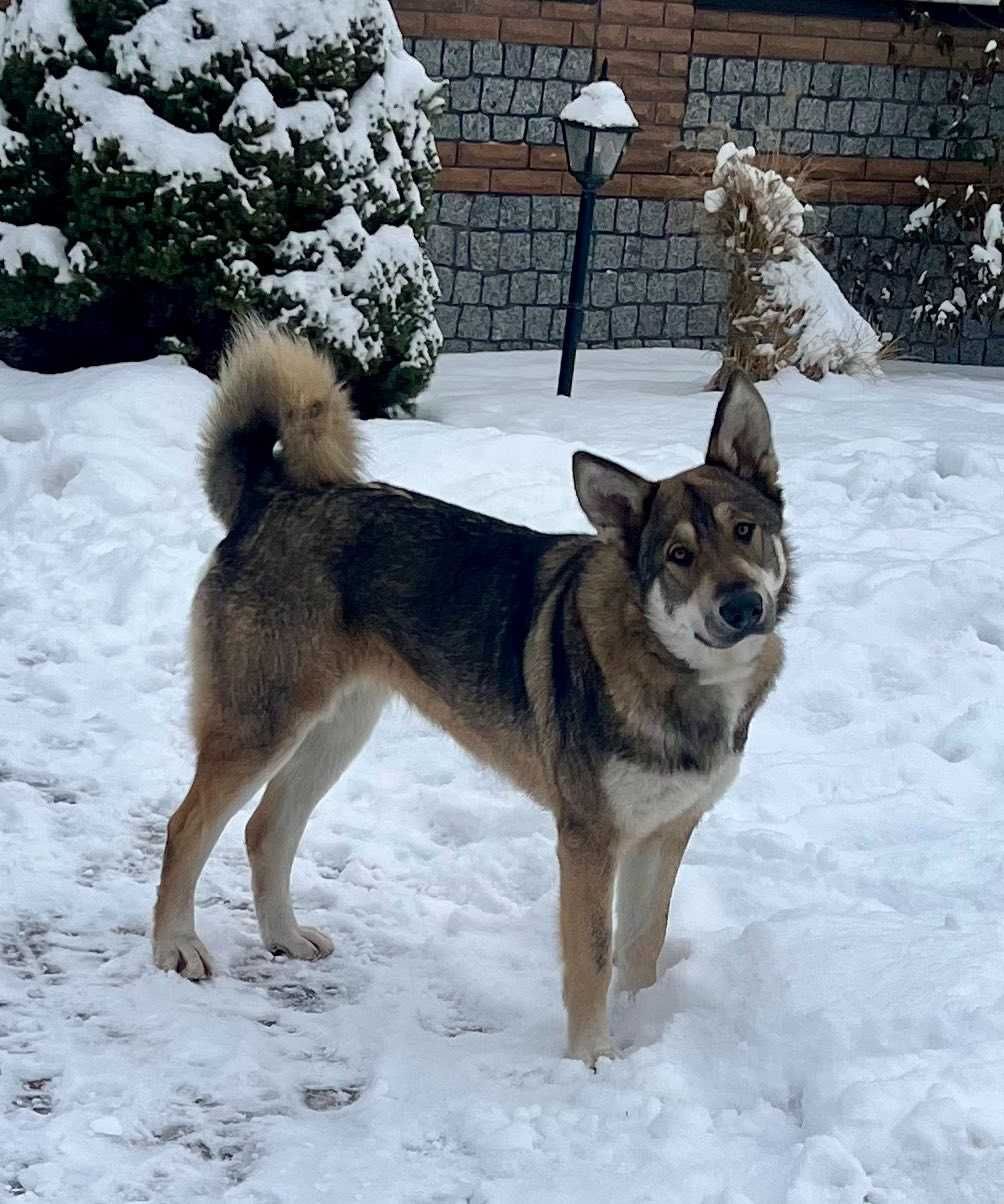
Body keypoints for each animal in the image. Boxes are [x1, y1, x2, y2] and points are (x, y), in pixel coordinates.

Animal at [152, 320, 789, 1064]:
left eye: (745, 531)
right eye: (679, 557)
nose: (743, 606)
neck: (678, 672)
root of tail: (270, 496)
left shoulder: (665, 833)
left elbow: (641, 948)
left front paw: (640, 1032)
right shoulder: (589, 838)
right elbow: (593, 955)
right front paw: (594, 1058)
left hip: (335, 731)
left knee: (265, 829)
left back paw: (284, 937)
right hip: (263, 727)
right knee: (186, 828)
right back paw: (175, 948)